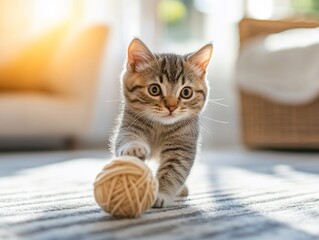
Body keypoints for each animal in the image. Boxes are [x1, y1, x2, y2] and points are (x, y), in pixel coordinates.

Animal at [111, 38, 214, 207]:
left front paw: (160, 193)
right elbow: (126, 139)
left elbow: (174, 171)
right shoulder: (129, 124)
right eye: (154, 89)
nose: (171, 107)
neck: (160, 126)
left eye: (186, 92)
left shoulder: (182, 146)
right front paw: (133, 147)